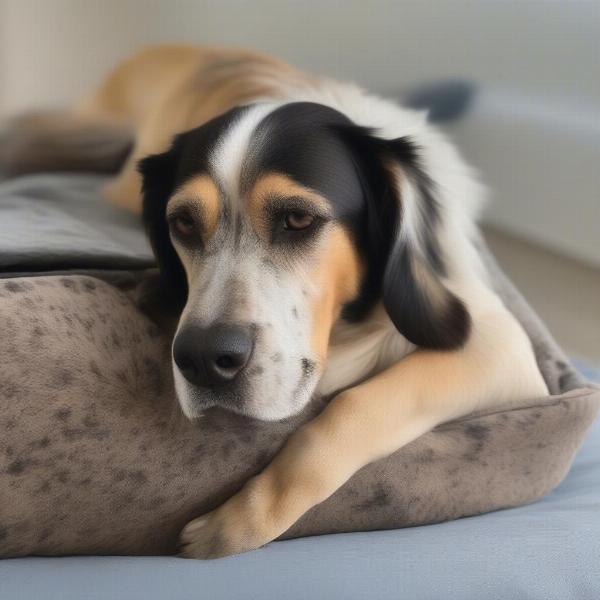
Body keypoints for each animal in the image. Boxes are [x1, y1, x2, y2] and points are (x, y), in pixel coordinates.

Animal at [2, 45, 548, 556]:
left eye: (299, 219)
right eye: (183, 223)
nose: (203, 359)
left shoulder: (500, 348)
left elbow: (355, 407)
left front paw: (237, 522)